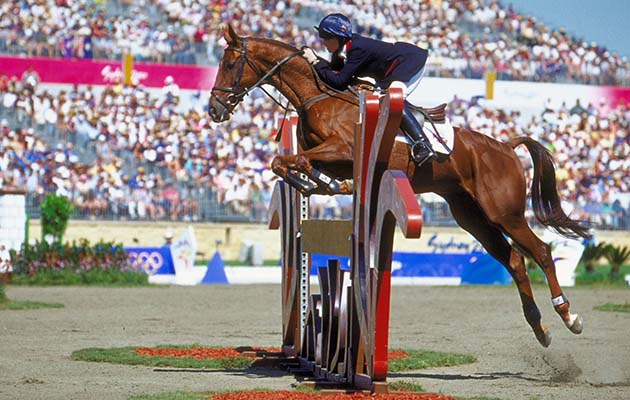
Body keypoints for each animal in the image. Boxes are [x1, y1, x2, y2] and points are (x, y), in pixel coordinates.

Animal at [210, 25, 592, 346]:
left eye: (229, 64)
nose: (215, 110)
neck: (318, 96)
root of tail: (506, 146)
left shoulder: (343, 148)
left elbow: (293, 160)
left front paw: (318, 181)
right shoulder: (326, 155)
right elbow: (285, 162)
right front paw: (321, 183)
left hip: (503, 212)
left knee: (541, 251)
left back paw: (568, 316)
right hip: (471, 216)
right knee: (513, 260)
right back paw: (539, 328)